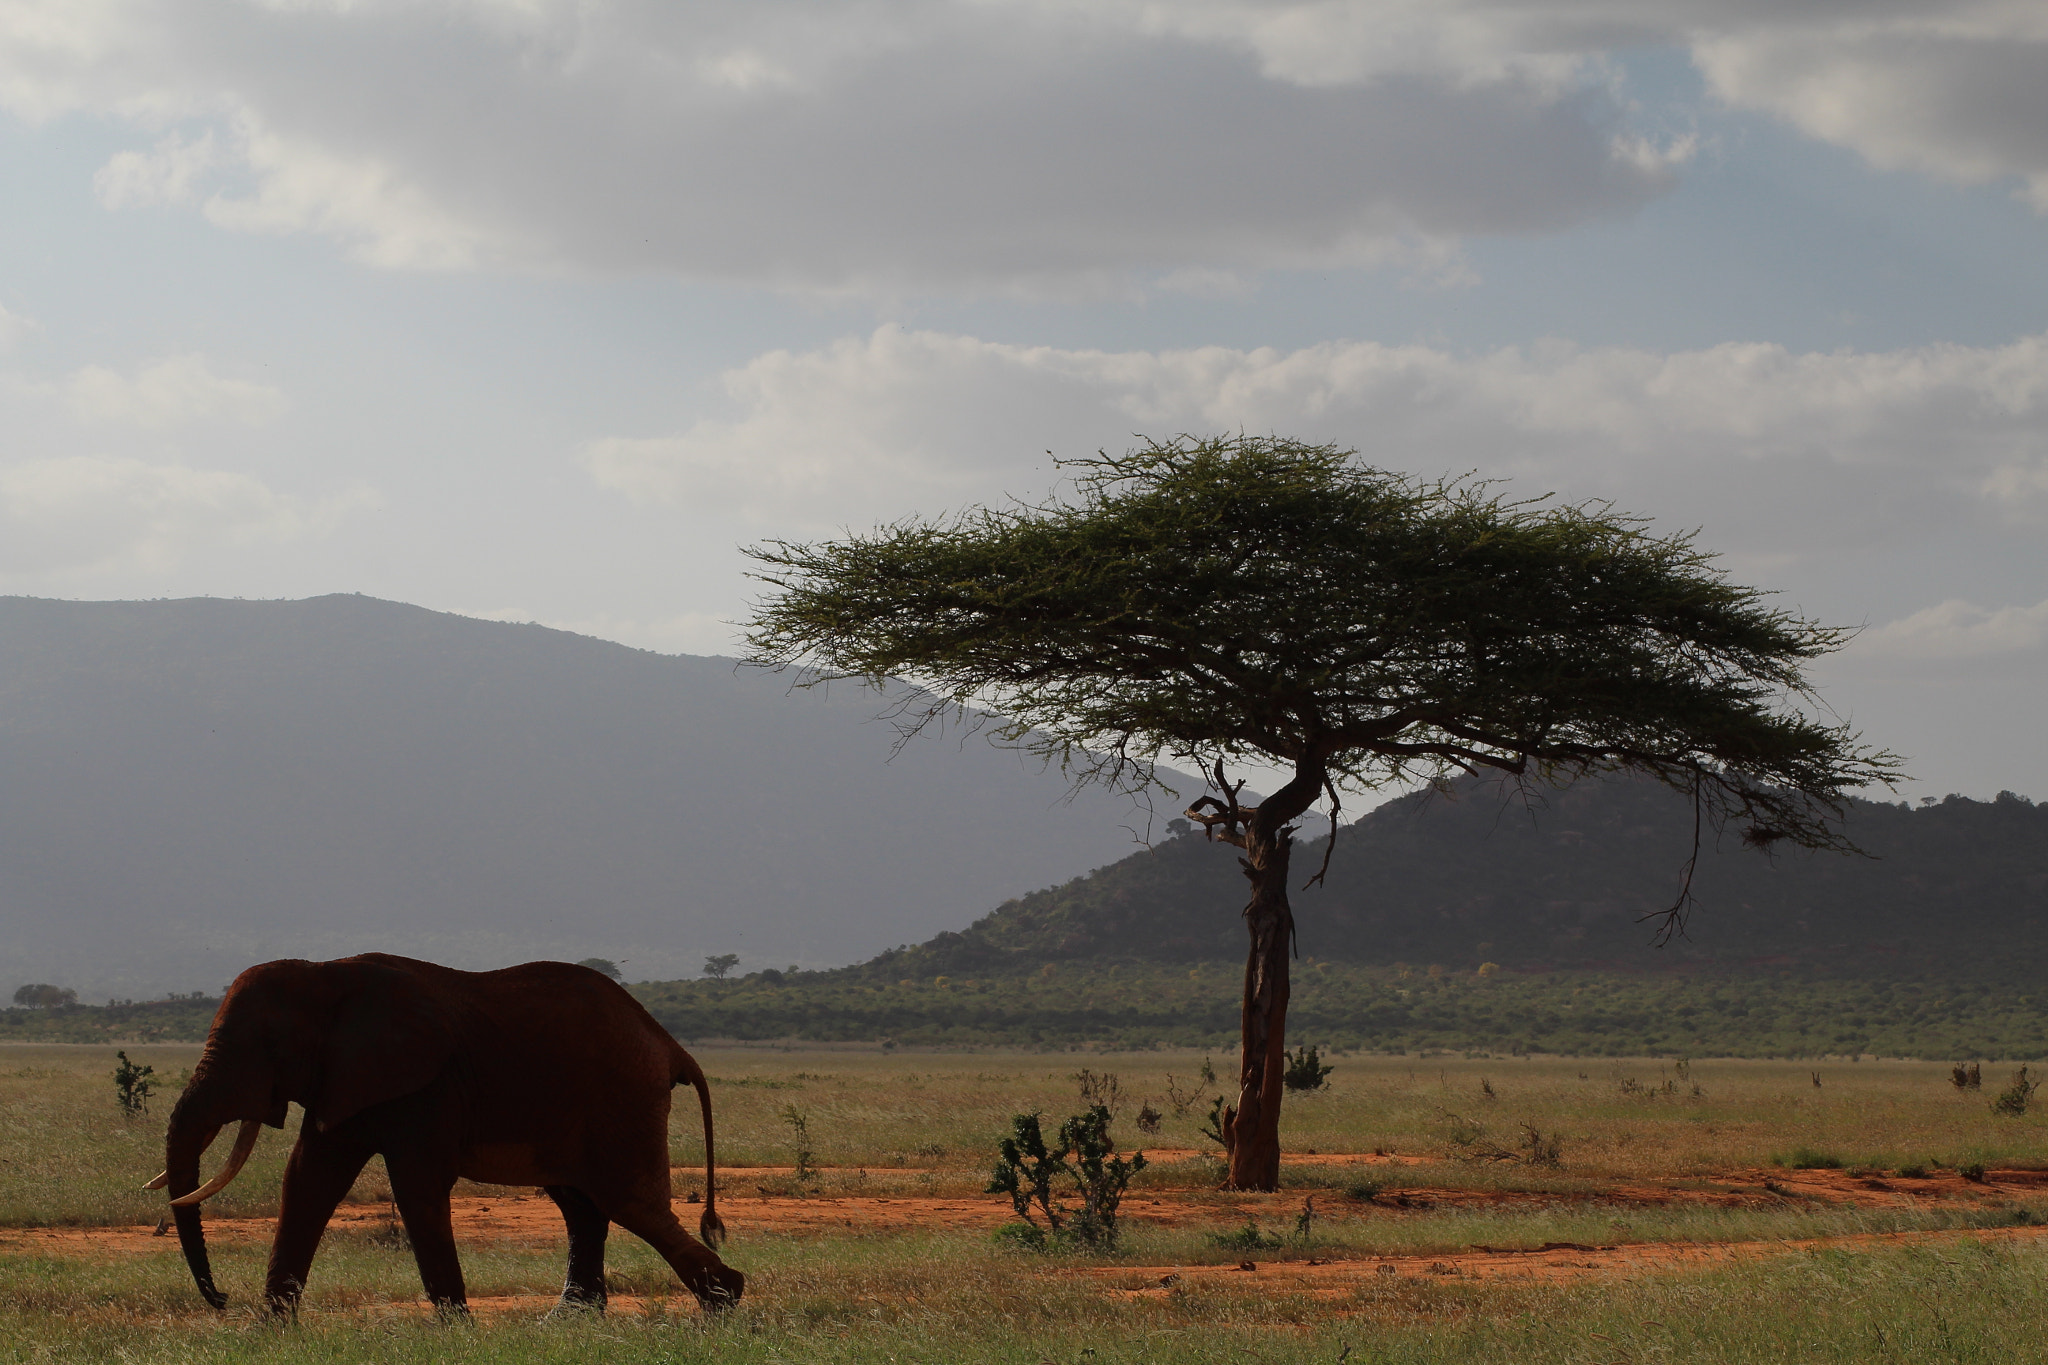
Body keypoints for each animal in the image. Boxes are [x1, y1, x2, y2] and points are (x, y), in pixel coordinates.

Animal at [148, 953, 743, 1316]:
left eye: (268, 1046)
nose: (223, 1298)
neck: (326, 973)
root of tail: (669, 1043)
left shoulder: (425, 1087)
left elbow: (417, 1187)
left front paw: (458, 1329)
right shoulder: (346, 1080)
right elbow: (307, 1181)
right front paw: (271, 1330)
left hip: (621, 1099)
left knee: (627, 1201)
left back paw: (724, 1302)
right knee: (584, 1205)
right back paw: (565, 1321)